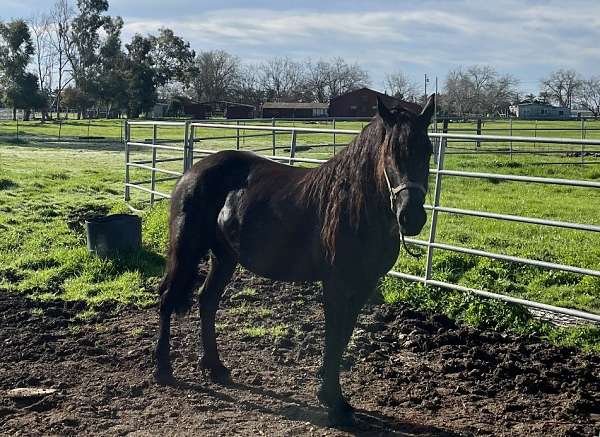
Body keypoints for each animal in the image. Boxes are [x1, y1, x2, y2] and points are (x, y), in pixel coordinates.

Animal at [155, 94, 436, 422]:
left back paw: (215, 367)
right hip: (186, 249)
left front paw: (328, 391)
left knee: (207, 301)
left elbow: (344, 336)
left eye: (428, 151)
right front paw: (334, 401)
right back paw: (162, 368)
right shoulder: (336, 284)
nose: (411, 217)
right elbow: (334, 336)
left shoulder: (364, 285)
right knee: (168, 298)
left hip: (224, 258)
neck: (354, 204)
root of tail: (192, 171)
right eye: (392, 152)